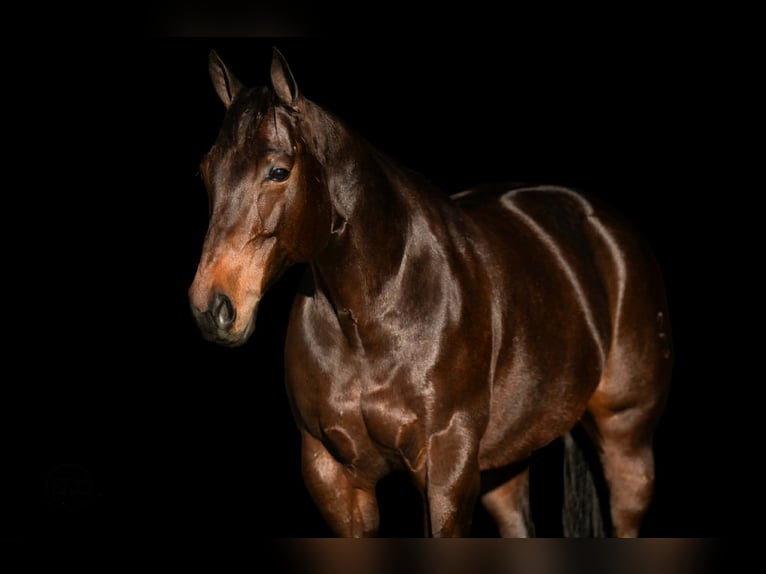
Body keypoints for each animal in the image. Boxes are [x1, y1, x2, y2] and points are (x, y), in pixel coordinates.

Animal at [188, 47, 673, 537]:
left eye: (278, 171)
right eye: (206, 172)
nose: (213, 307)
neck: (374, 314)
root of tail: (604, 225)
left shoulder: (446, 468)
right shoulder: (334, 476)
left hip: (627, 444)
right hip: (504, 462)